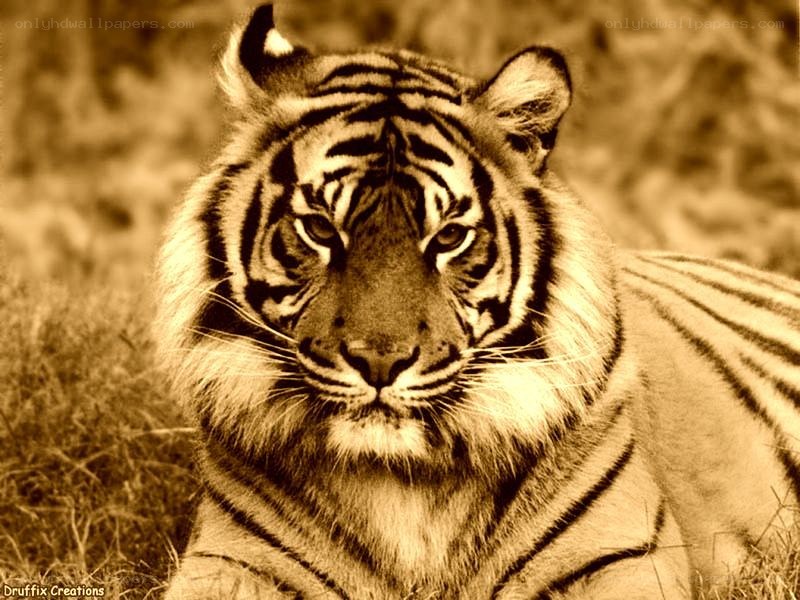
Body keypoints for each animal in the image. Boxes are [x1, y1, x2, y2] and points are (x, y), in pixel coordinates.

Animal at [155, 4, 800, 599]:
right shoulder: (233, 560)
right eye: (319, 228)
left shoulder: (621, 558)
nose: (380, 362)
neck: (401, 488)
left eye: (448, 238)